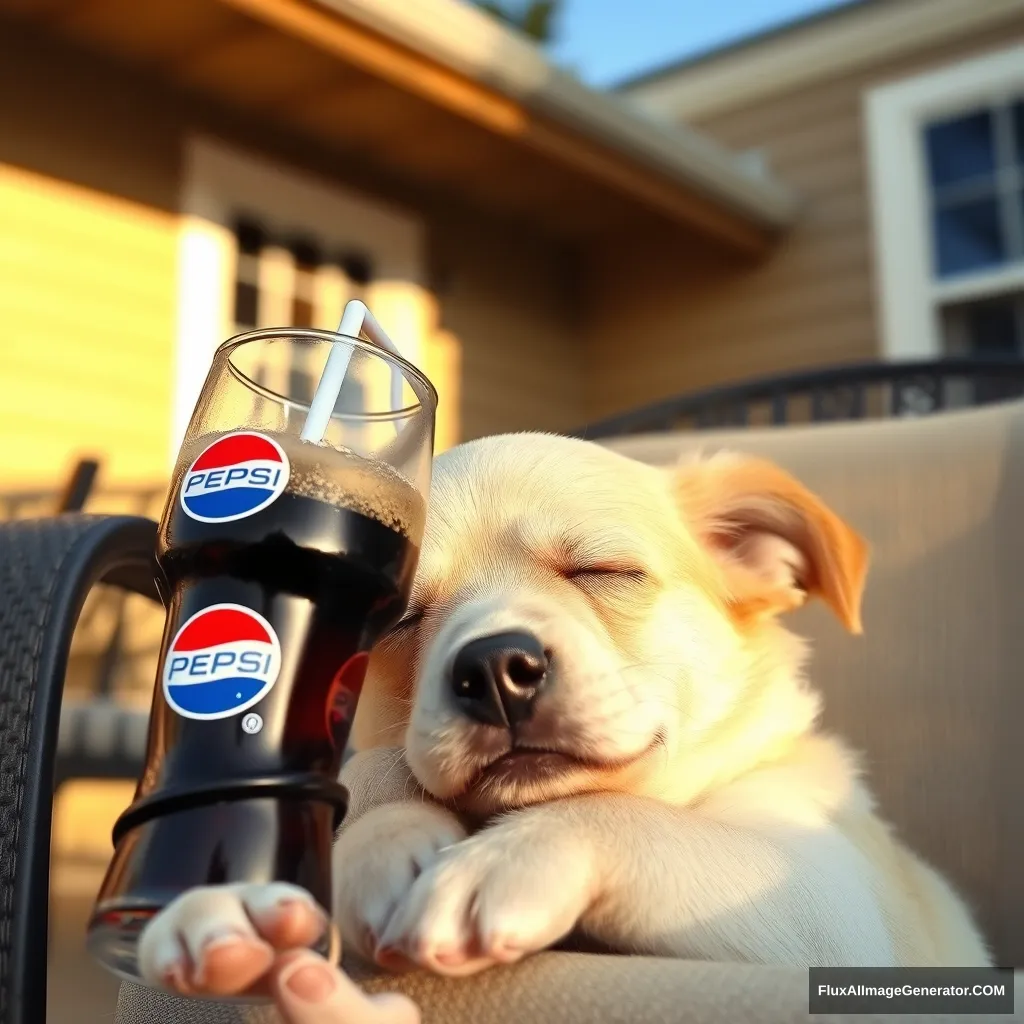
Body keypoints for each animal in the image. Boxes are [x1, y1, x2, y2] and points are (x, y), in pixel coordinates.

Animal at [136, 432, 991, 999]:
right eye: (404, 617)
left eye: (602, 571)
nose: (493, 670)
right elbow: (376, 770)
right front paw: (297, 878)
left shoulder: (833, 904)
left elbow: (633, 816)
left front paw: (508, 858)